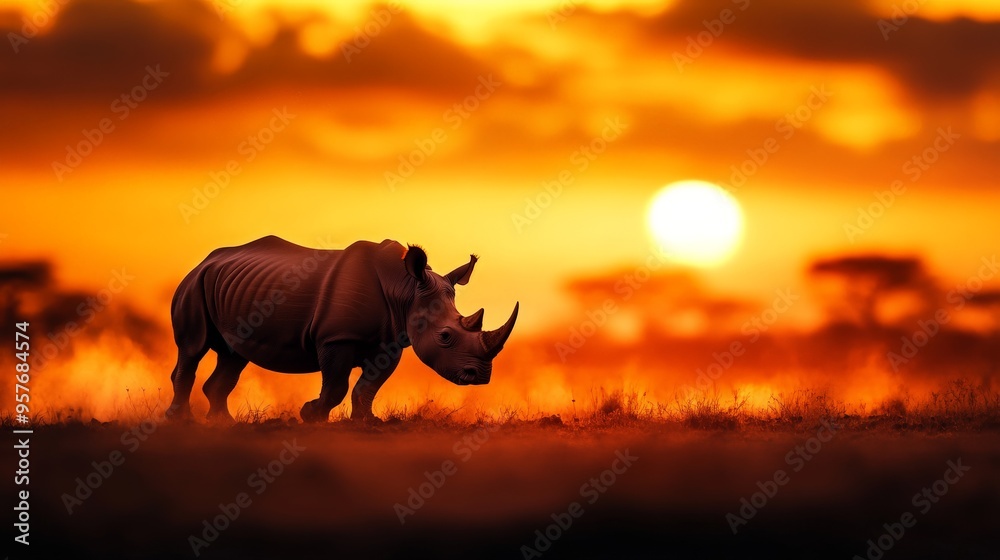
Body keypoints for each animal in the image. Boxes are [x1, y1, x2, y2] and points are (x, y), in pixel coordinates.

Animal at [167, 236, 518, 423]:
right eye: (445, 337)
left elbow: (369, 386)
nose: (480, 376)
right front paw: (311, 415)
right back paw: (181, 421)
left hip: (230, 288)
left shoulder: (390, 342)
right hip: (194, 285)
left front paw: (367, 422)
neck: (405, 289)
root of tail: (204, 261)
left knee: (233, 355)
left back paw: (222, 423)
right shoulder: (335, 338)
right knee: (193, 349)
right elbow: (336, 384)